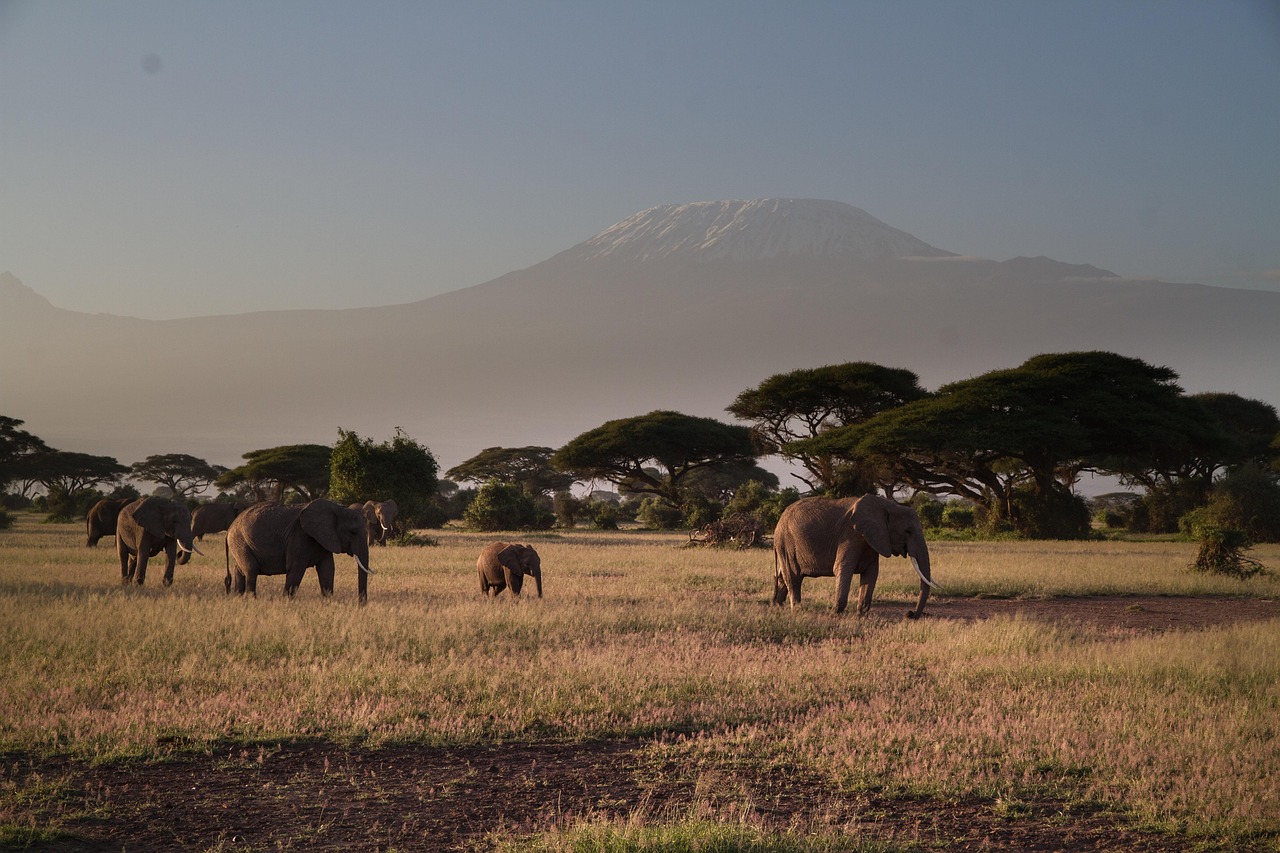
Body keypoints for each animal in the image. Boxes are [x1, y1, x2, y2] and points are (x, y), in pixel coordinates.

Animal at [226, 499, 373, 603]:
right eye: (352, 532)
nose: (361, 604)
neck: (338, 508)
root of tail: (230, 528)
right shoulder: (299, 535)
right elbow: (296, 568)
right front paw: (286, 602)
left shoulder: (325, 538)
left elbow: (327, 569)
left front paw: (328, 603)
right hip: (240, 540)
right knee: (251, 569)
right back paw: (251, 600)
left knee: (240, 570)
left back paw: (238, 598)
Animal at [772, 494, 937, 618]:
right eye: (908, 531)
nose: (909, 614)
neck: (886, 505)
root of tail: (780, 519)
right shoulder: (850, 535)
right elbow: (842, 568)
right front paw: (834, 613)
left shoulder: (872, 539)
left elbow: (871, 573)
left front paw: (861, 615)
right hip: (786, 542)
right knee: (793, 576)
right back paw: (797, 611)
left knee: (783, 577)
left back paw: (778, 607)